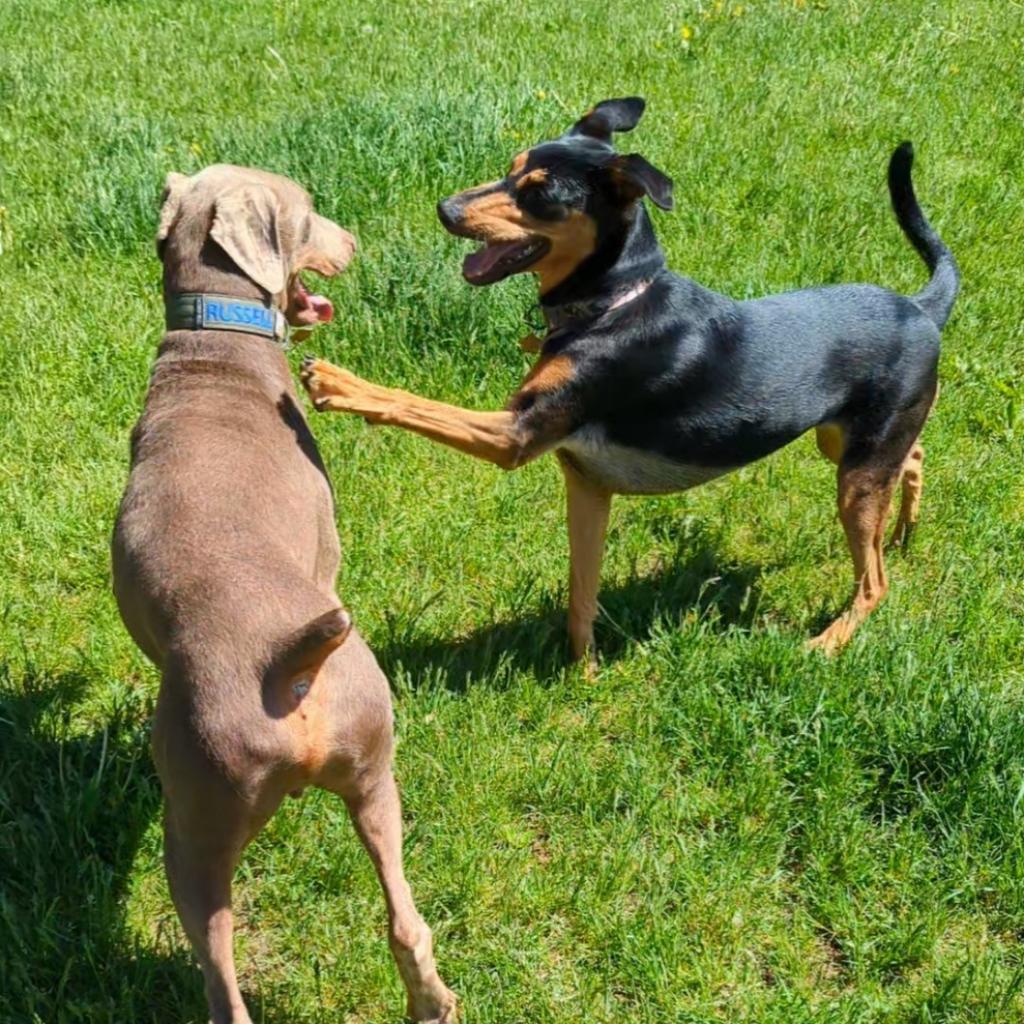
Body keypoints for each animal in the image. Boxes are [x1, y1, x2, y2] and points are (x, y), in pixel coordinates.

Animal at [109, 167, 456, 1024]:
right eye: (308, 211)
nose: (355, 242)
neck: (215, 342)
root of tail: (283, 667)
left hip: (215, 811)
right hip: (347, 771)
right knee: (401, 924)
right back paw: (436, 1002)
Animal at [301, 97, 958, 663]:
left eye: (540, 195)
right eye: (509, 171)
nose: (446, 210)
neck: (611, 303)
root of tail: (922, 308)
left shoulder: (517, 434)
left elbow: (415, 402)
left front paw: (339, 383)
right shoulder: (586, 484)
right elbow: (581, 598)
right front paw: (583, 672)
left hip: (856, 471)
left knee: (874, 581)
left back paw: (829, 639)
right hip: (842, 442)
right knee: (914, 456)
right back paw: (904, 530)